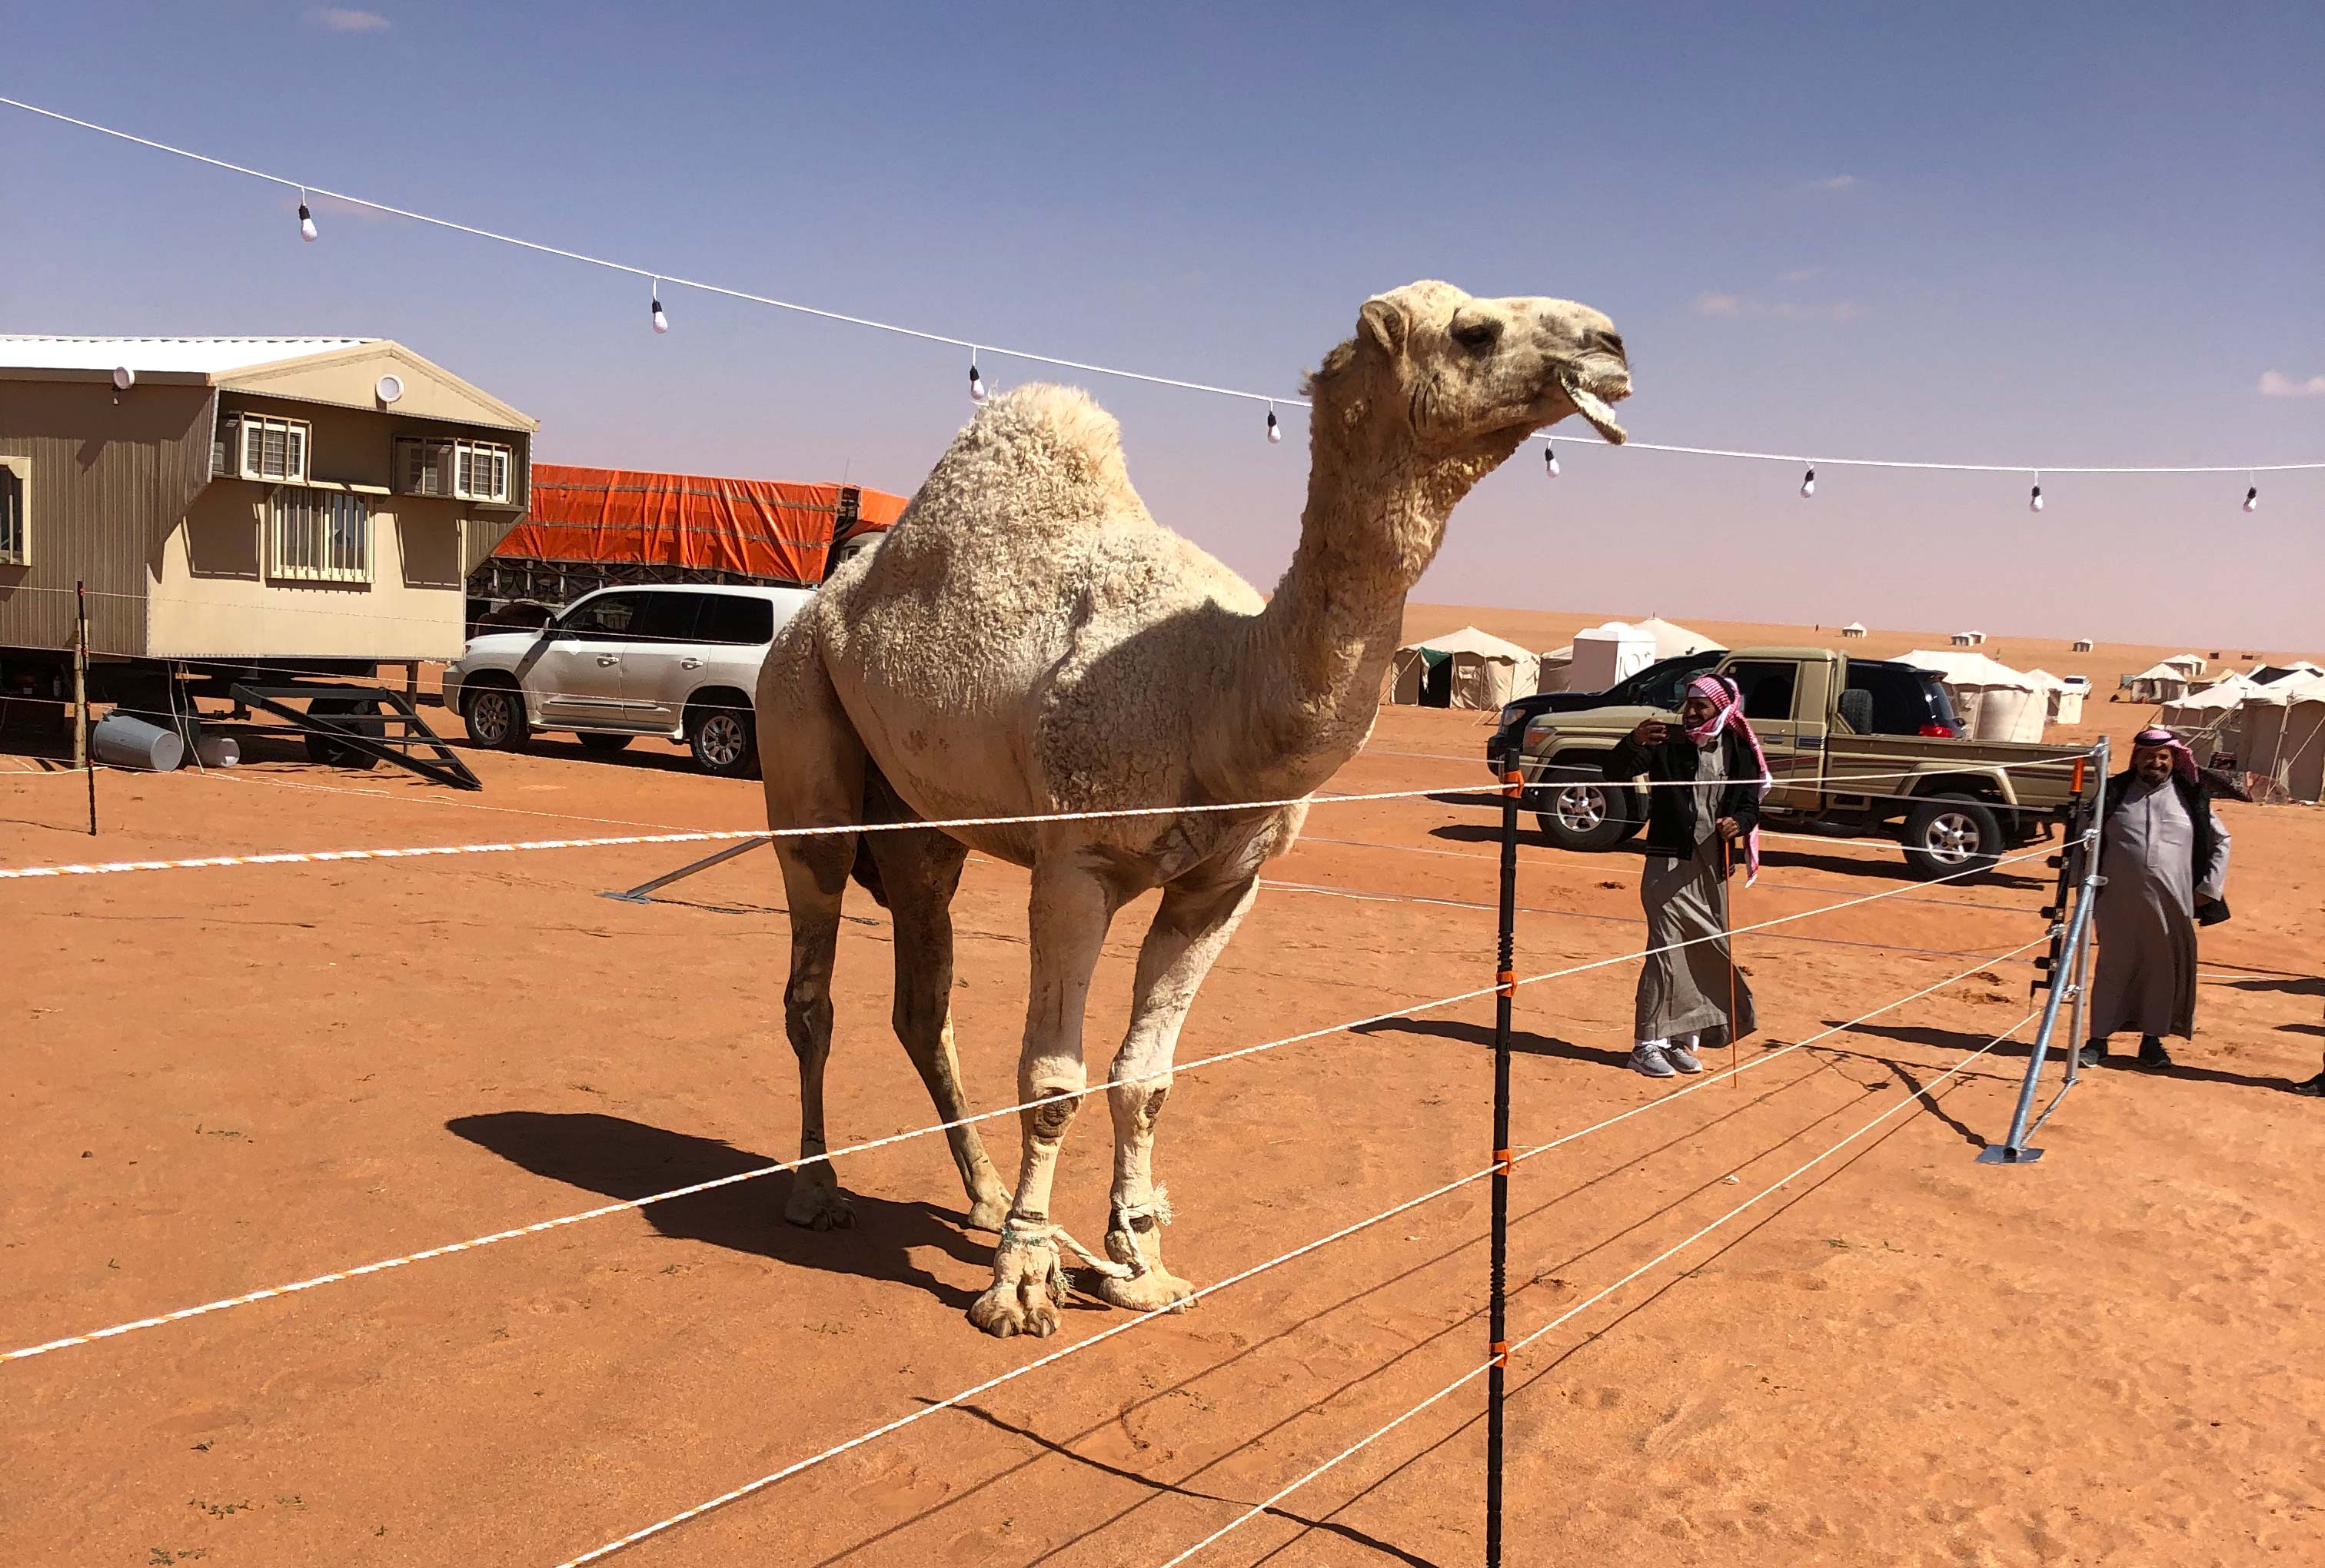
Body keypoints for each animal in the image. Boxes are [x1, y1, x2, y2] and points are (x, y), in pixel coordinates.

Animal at [757, 280, 1631, 1337]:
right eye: (1474, 330)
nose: (1611, 344)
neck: (1223, 692)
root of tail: (821, 602)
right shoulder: (1077, 863)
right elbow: (1053, 1081)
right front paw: (1020, 1287)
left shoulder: (1223, 886)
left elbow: (1146, 1080)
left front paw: (1137, 1265)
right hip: (800, 729)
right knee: (812, 989)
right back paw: (818, 1193)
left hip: (922, 830)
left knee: (924, 1005)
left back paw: (980, 1197)